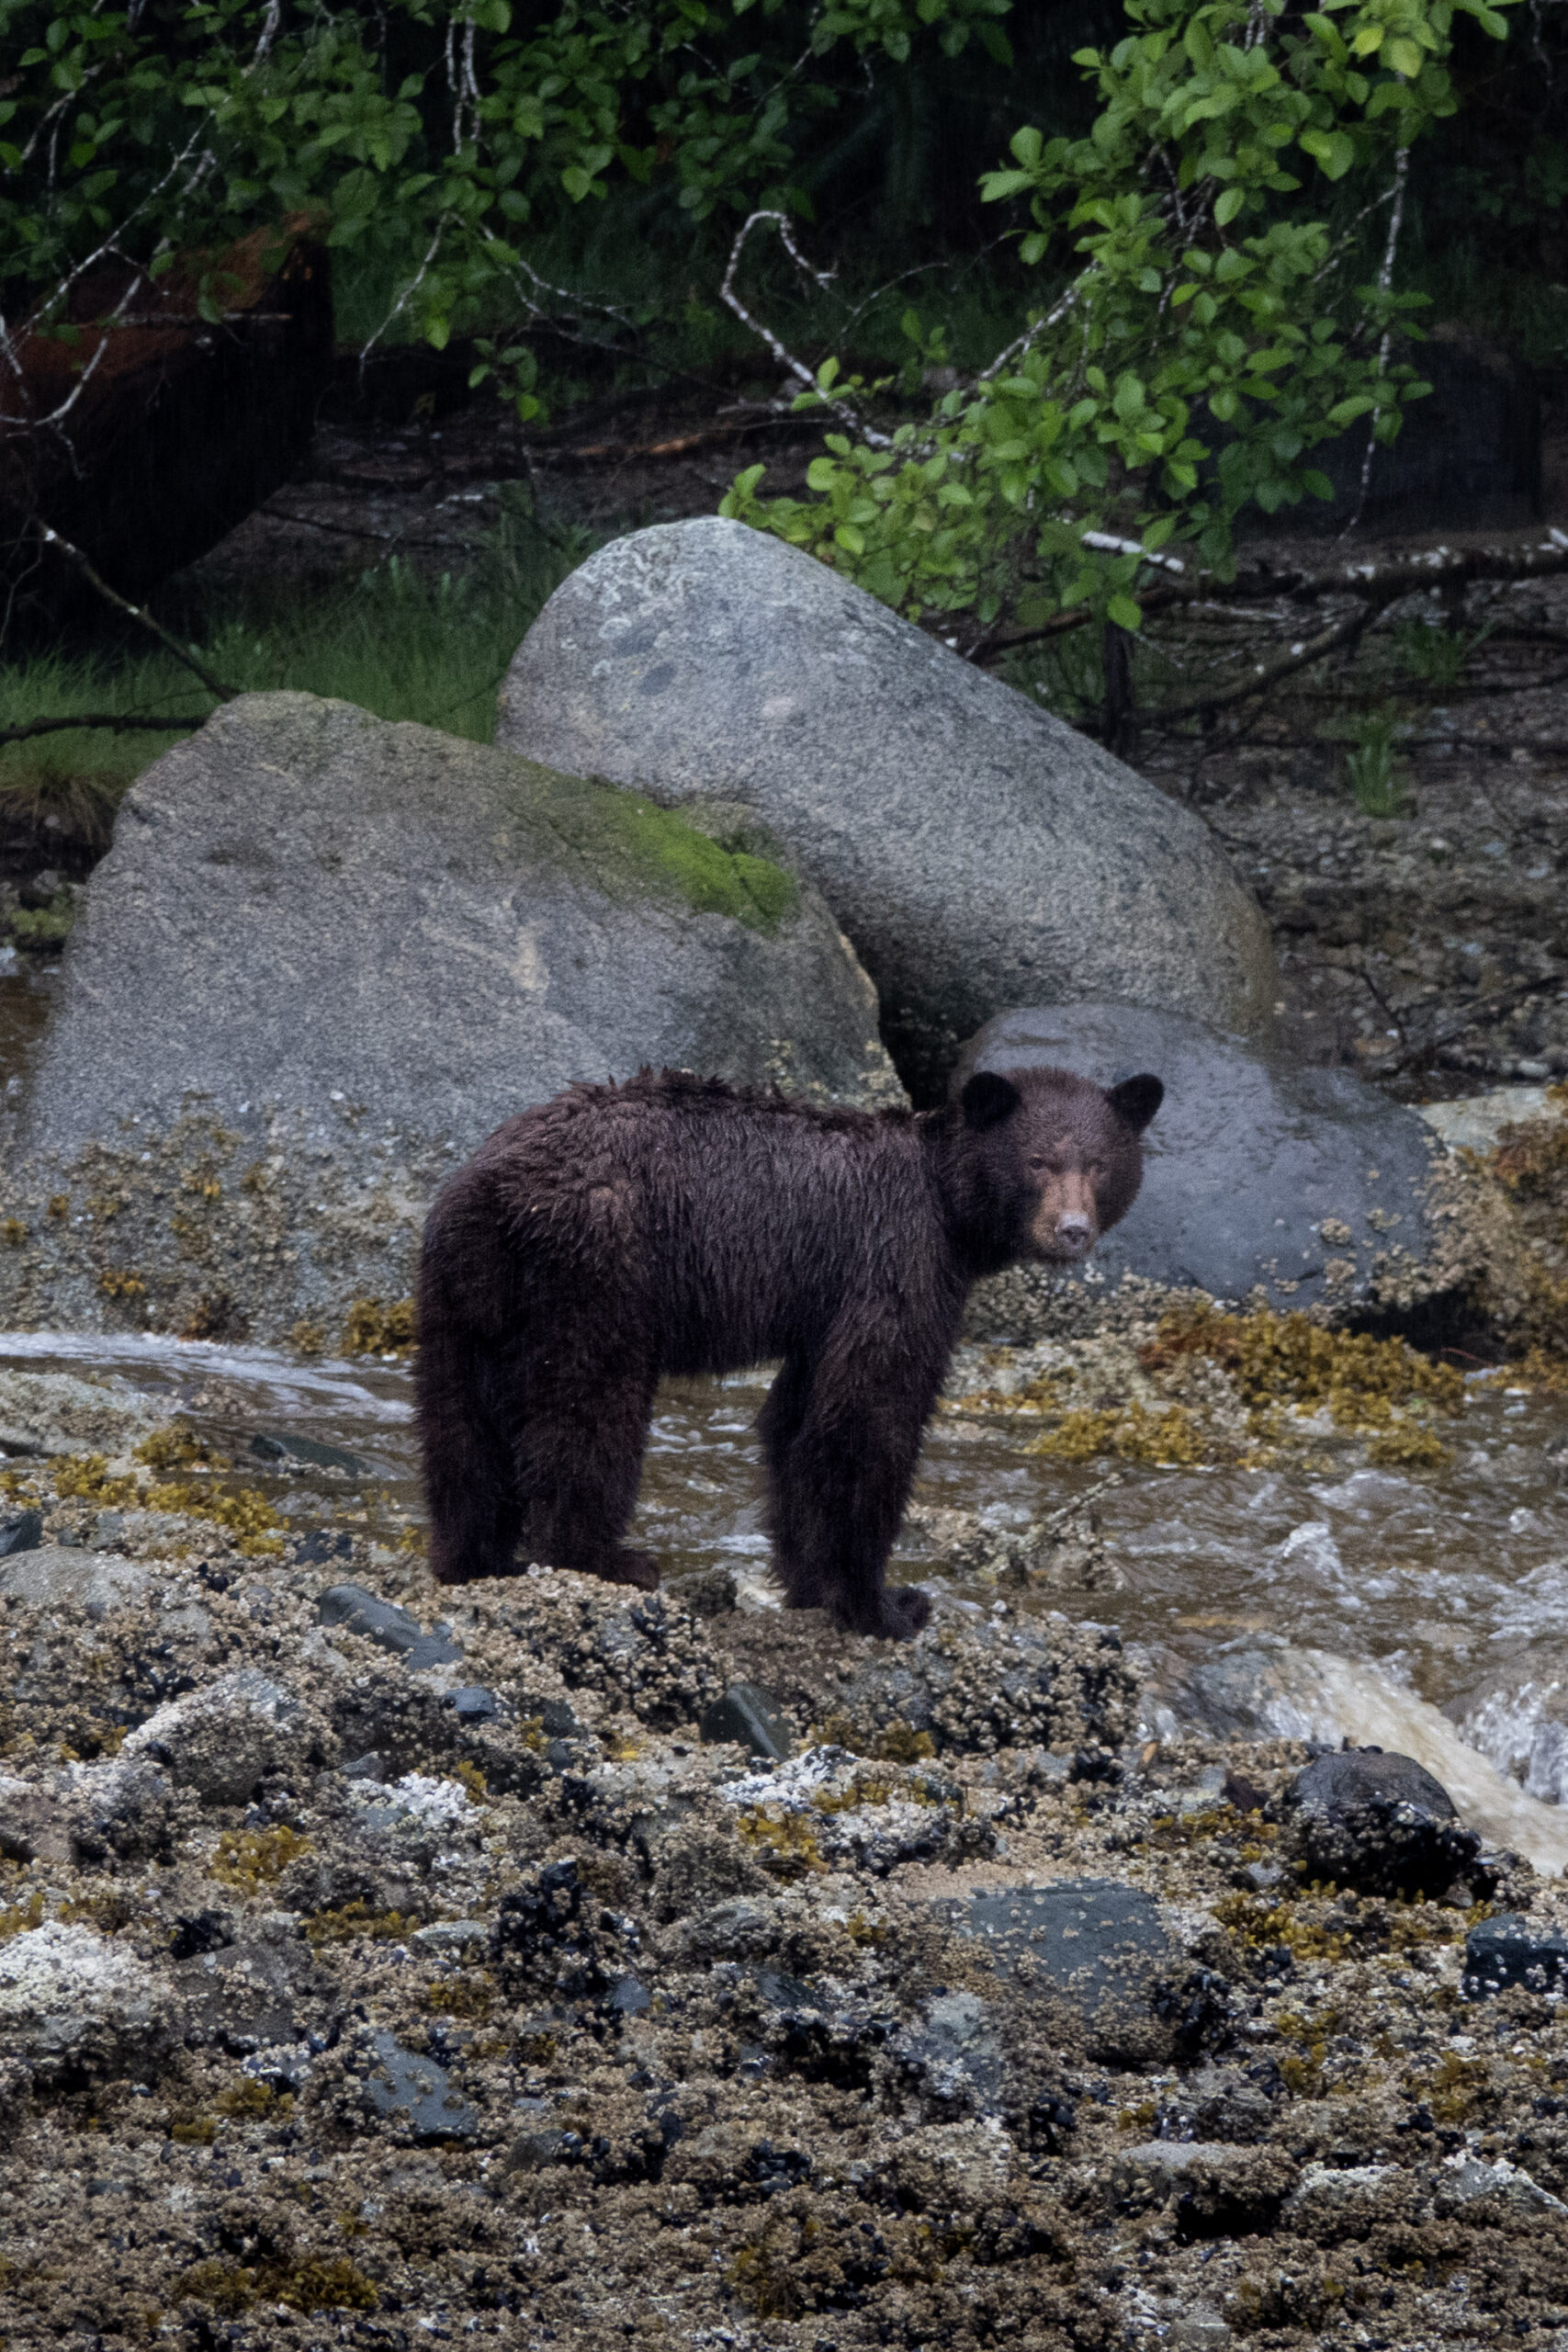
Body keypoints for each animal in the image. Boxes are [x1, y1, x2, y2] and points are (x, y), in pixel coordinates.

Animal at [414, 1061, 1163, 1639]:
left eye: (1099, 1164)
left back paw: (474, 1557)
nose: (1072, 1230)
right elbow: (870, 1416)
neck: (950, 1209)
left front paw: (809, 1583)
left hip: (465, 1291)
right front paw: (884, 1604)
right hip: (599, 1265)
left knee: (459, 1422)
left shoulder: (825, 1303)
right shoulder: (894, 1260)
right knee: (589, 1409)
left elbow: (799, 1421)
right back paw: (605, 1558)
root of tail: (495, 1188)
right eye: (1038, 1162)